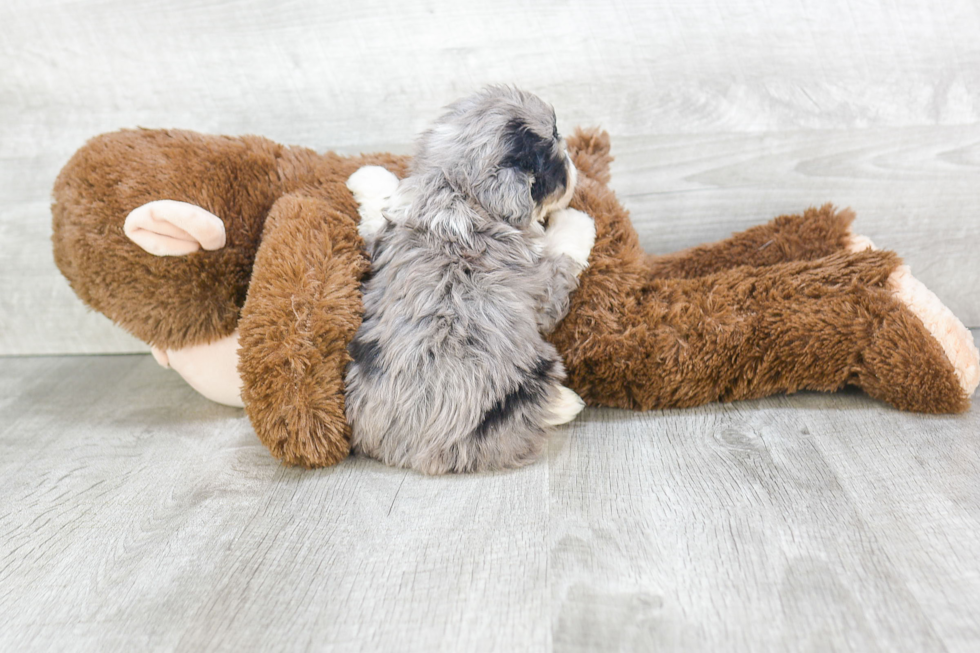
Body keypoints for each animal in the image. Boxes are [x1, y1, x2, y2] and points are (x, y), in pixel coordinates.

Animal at [344, 86, 592, 474]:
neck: (457, 191)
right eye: (552, 162)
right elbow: (563, 254)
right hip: (531, 374)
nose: (571, 163)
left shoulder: (388, 232)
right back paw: (567, 402)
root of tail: (413, 453)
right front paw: (577, 219)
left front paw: (367, 176)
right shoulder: (540, 286)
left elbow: (381, 208)